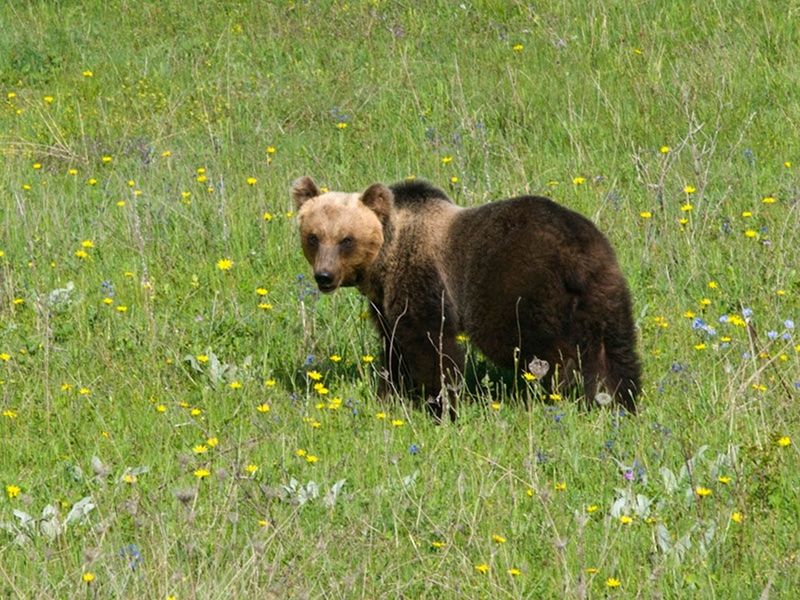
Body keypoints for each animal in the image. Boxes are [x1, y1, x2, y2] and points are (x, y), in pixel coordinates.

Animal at [290, 176, 640, 414]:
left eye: (346, 239)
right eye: (314, 237)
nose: (324, 276)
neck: (385, 259)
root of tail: (577, 255)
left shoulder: (422, 280)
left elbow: (430, 345)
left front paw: (440, 403)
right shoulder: (384, 302)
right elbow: (392, 347)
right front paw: (390, 394)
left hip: (517, 288)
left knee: (540, 348)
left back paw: (556, 392)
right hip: (604, 288)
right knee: (614, 349)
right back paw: (620, 399)